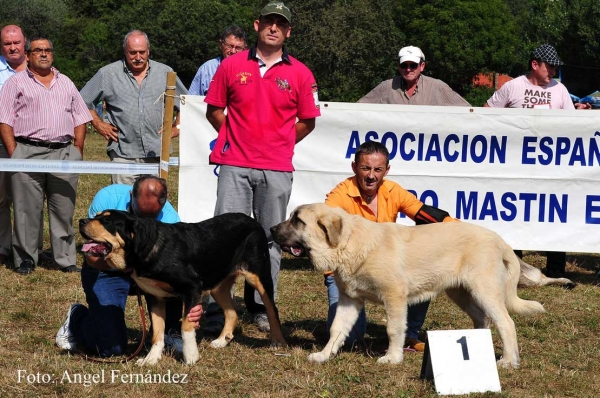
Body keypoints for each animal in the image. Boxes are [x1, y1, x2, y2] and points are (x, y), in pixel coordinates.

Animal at [79, 210, 286, 366]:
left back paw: (278, 342)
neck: (149, 248)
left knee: (272, 309)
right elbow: (157, 333)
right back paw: (221, 341)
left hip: (259, 276)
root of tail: (252, 220)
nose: (81, 221)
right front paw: (151, 359)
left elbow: (186, 326)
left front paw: (190, 356)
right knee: (232, 312)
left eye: (107, 220)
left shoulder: (192, 288)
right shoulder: (154, 297)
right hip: (217, 285)